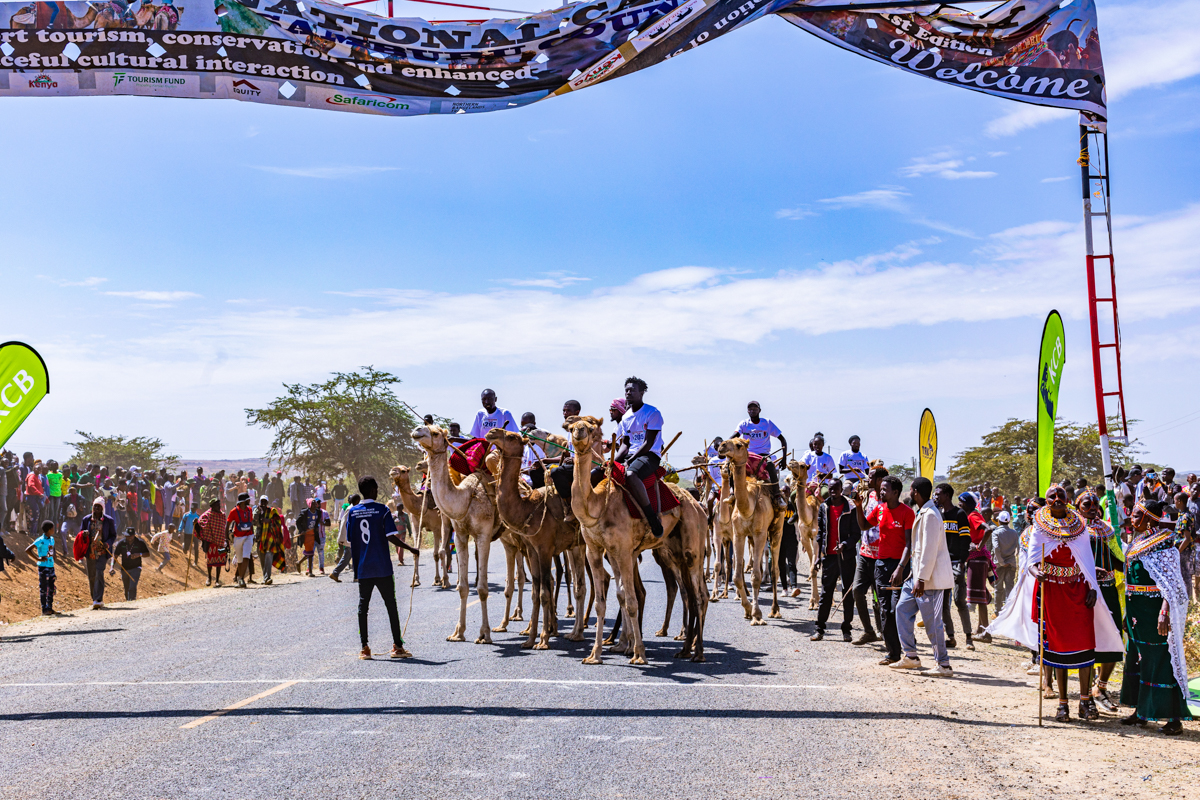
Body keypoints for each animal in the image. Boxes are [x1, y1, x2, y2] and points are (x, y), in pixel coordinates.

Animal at [412, 424, 506, 642]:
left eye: (435, 433)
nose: (417, 429)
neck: (465, 498)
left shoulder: (483, 535)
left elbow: (482, 589)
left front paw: (484, 633)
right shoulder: (462, 535)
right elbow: (463, 588)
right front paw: (458, 632)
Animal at [482, 429, 585, 647]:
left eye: (512, 436)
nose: (492, 432)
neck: (527, 508)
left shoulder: (544, 548)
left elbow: (545, 591)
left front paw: (543, 639)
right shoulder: (531, 549)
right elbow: (536, 592)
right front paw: (530, 639)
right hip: (577, 545)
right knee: (583, 584)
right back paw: (576, 633)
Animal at [564, 417, 705, 666]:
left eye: (591, 428)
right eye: (571, 427)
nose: (579, 432)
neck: (598, 505)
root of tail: (697, 504)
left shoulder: (622, 550)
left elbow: (631, 601)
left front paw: (638, 654)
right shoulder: (595, 549)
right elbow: (604, 601)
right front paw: (594, 655)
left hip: (693, 544)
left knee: (697, 595)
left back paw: (698, 653)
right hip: (674, 551)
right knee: (689, 593)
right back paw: (685, 649)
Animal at [710, 438, 787, 623]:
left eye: (739, 445)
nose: (722, 446)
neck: (748, 508)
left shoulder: (759, 534)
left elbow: (756, 576)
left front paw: (757, 614)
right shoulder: (738, 534)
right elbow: (737, 575)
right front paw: (747, 609)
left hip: (776, 530)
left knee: (774, 569)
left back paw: (774, 610)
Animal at [782, 460, 820, 609]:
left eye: (803, 465)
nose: (791, 462)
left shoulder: (816, 538)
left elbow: (814, 568)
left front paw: (816, 601)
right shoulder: (804, 538)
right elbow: (812, 567)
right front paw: (813, 601)